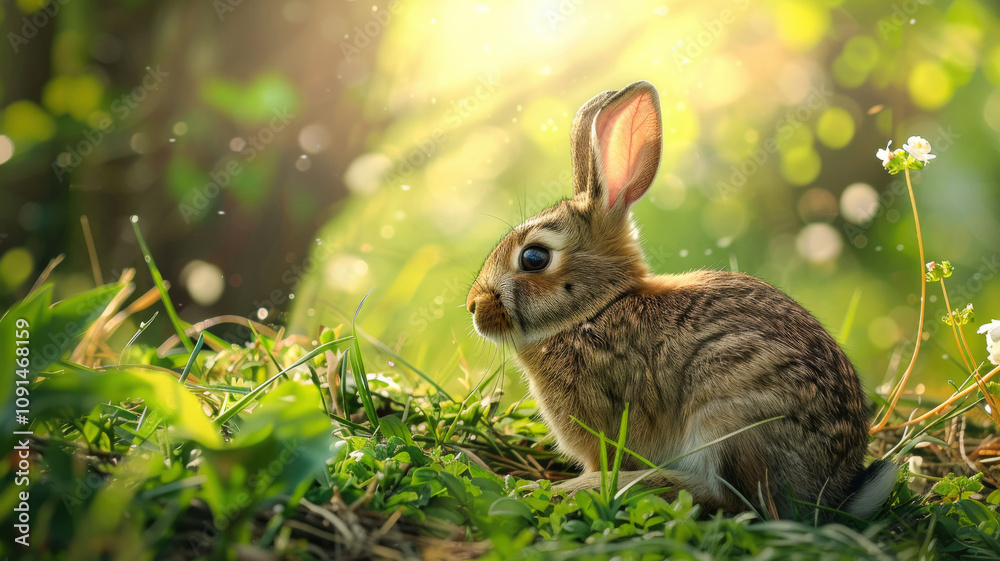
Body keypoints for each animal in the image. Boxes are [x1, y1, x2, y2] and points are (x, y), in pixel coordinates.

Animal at [465, 80, 897, 519]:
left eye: (534, 258)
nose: (474, 307)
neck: (594, 312)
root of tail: (832, 493)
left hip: (728, 410)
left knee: (735, 502)